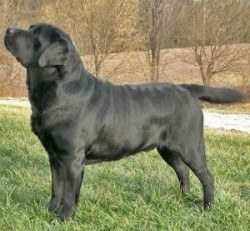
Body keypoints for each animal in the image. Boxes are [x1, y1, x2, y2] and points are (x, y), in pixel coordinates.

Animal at [3, 23, 242, 220]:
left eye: (35, 34)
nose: (8, 29)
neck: (60, 89)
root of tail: (187, 89)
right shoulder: (55, 156)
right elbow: (57, 189)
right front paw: (49, 213)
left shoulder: (71, 157)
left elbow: (69, 194)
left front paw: (63, 219)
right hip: (167, 149)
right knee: (182, 172)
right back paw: (183, 198)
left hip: (190, 146)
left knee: (207, 177)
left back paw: (207, 207)